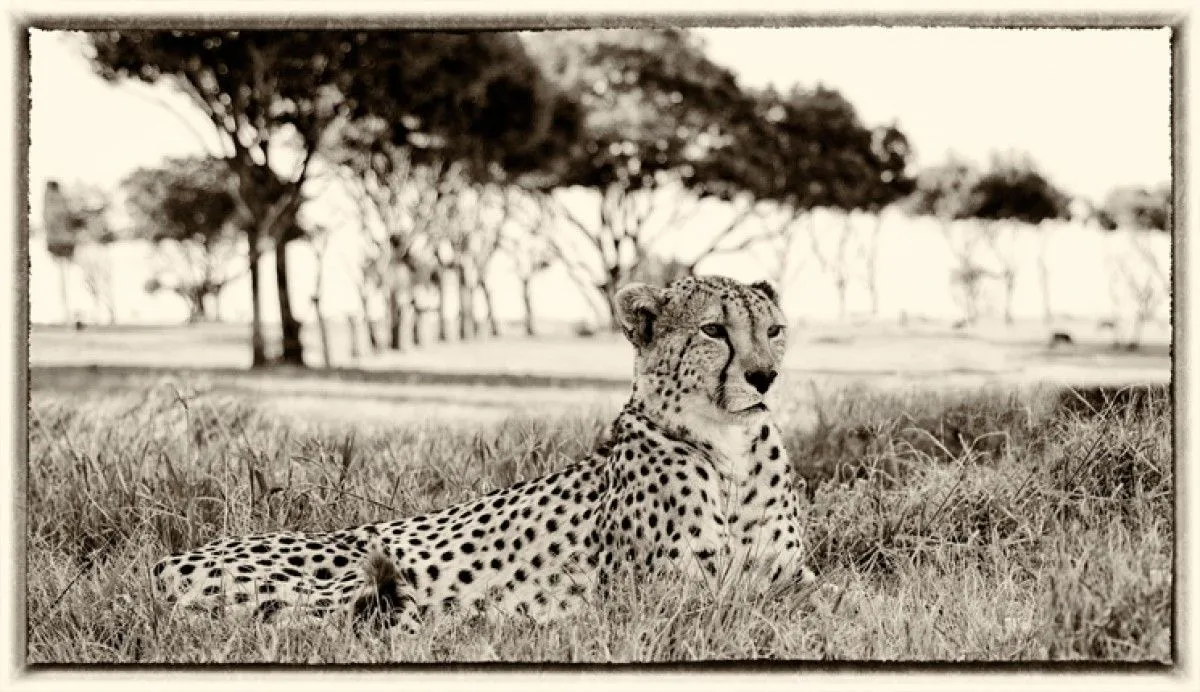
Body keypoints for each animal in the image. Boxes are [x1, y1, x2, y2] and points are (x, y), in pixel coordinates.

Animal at [150, 275, 815, 633]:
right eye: (713, 331)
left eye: (774, 330)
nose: (763, 376)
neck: (728, 449)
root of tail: (167, 560)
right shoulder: (664, 596)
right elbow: (735, 608)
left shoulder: (795, 578)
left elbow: (826, 598)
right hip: (348, 577)